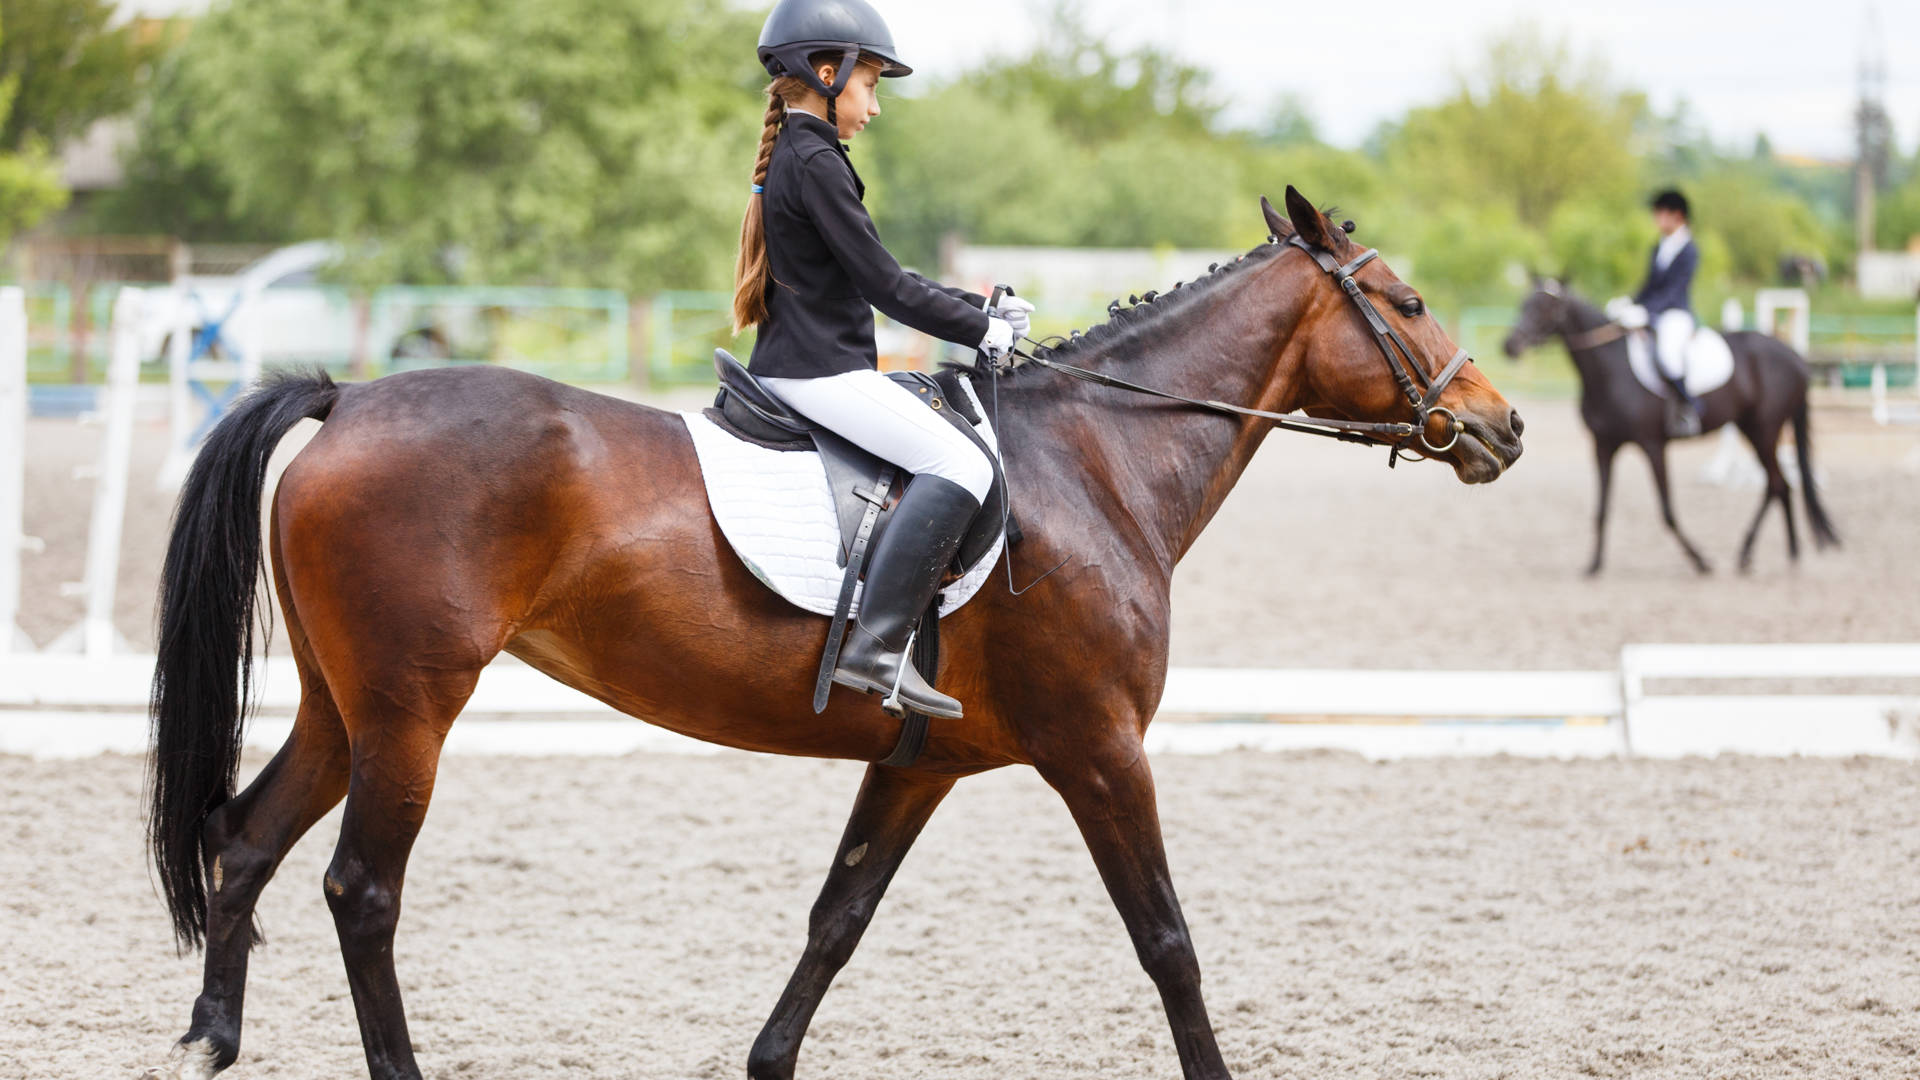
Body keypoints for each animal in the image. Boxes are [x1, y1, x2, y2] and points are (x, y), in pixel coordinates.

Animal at [140, 188, 1523, 1080]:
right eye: (1405, 300)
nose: (1503, 428)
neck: (1097, 462)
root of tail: (348, 398)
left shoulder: (921, 764)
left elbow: (836, 921)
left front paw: (765, 1061)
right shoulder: (1100, 750)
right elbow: (1168, 943)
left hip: (345, 706)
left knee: (244, 838)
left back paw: (209, 1040)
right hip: (413, 711)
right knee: (360, 890)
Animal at [1502, 279, 1838, 575]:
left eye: (1546, 307)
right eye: (1523, 304)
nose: (1508, 346)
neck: (1608, 368)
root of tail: (1794, 357)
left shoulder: (1653, 445)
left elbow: (1667, 511)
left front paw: (1701, 561)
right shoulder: (1603, 446)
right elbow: (1601, 509)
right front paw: (1594, 565)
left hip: (1764, 430)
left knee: (1778, 484)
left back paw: (1758, 553)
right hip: (1752, 428)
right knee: (1780, 486)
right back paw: (1787, 552)